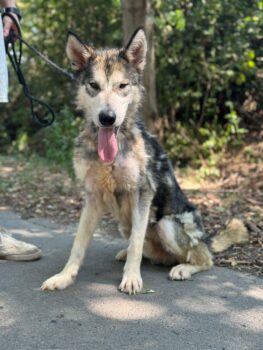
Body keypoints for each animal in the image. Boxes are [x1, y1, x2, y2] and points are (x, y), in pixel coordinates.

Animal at [40, 28, 249, 294]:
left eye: (122, 86)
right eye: (94, 86)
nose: (107, 118)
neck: (113, 154)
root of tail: (206, 237)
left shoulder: (142, 194)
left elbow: (137, 243)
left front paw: (131, 278)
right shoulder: (93, 197)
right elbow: (78, 245)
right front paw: (64, 277)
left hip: (166, 225)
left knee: (203, 258)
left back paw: (183, 268)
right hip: (125, 225)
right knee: (153, 252)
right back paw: (132, 254)